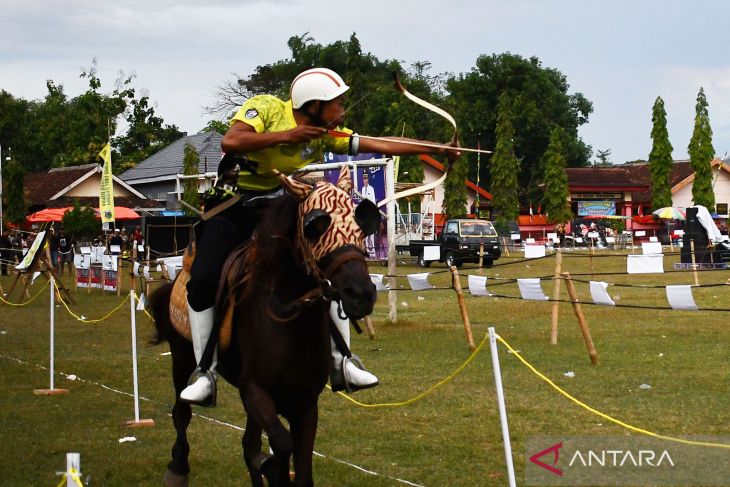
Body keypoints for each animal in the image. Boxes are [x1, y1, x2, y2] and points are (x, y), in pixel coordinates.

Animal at [148, 169, 376, 487]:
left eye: (361, 227)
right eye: (315, 227)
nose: (361, 294)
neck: (288, 321)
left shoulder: (305, 402)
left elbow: (298, 467)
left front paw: (272, 470)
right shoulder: (254, 390)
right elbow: (280, 443)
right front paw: (273, 470)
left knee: (248, 443)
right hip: (181, 358)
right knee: (182, 413)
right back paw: (178, 467)